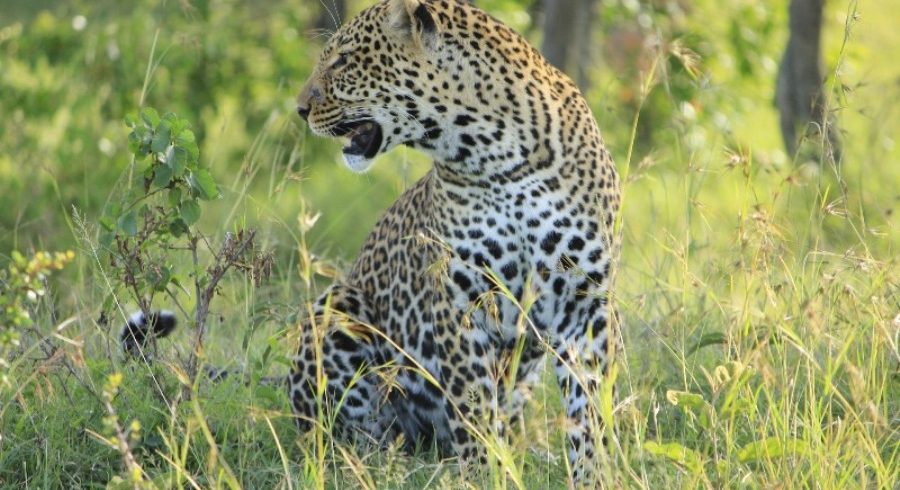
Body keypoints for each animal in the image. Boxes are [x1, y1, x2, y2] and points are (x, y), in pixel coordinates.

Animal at [291, 0, 621, 483]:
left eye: (344, 60)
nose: (299, 109)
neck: (496, 154)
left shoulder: (585, 304)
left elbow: (590, 411)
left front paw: (594, 475)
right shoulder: (460, 301)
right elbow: (474, 411)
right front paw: (486, 476)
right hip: (336, 308)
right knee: (348, 434)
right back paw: (382, 467)